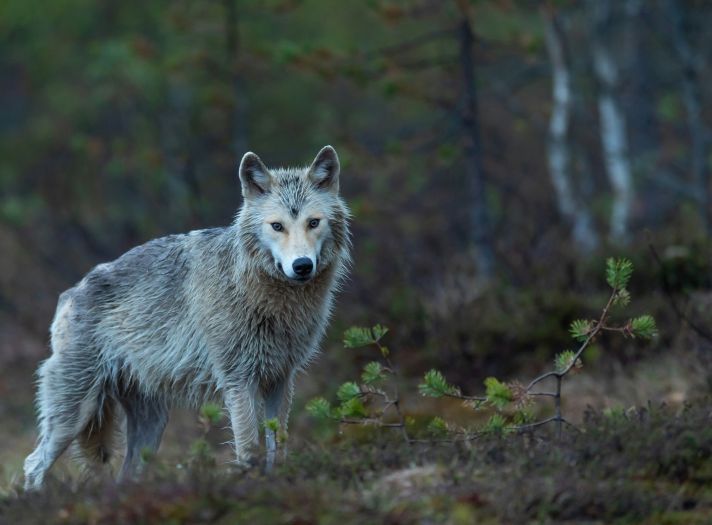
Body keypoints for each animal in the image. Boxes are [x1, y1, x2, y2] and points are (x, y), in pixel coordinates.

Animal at [23, 144, 352, 492]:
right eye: (277, 226)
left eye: (313, 222)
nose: (302, 265)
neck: (266, 297)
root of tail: (70, 293)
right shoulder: (238, 381)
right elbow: (249, 449)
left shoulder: (281, 379)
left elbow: (280, 444)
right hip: (75, 414)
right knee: (33, 464)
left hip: (151, 425)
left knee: (126, 473)